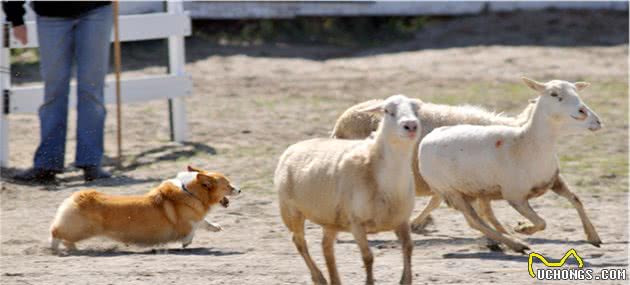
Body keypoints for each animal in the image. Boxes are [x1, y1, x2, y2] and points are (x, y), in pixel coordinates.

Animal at [49, 164, 241, 251]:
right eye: (228, 185)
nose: (240, 190)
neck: (191, 192)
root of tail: (76, 196)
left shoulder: (195, 218)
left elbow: (205, 222)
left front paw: (216, 227)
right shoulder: (186, 222)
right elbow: (192, 229)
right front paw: (186, 243)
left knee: (64, 237)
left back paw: (71, 248)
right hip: (82, 229)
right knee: (56, 232)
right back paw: (55, 248)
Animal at [278, 94, 422, 282]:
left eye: (416, 110)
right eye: (387, 110)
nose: (411, 125)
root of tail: (294, 146)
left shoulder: (401, 220)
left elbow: (409, 248)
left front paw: (405, 280)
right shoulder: (356, 223)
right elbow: (368, 257)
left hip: (330, 218)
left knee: (326, 247)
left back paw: (334, 280)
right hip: (291, 211)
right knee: (299, 241)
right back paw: (319, 278)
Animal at [420, 77, 604, 251]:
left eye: (577, 93)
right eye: (554, 94)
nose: (593, 118)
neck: (526, 142)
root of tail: (429, 137)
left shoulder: (553, 180)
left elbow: (576, 200)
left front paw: (593, 236)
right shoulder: (515, 196)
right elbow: (541, 222)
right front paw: (523, 228)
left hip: (476, 190)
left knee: (483, 216)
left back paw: (506, 239)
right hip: (451, 191)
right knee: (475, 221)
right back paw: (516, 244)